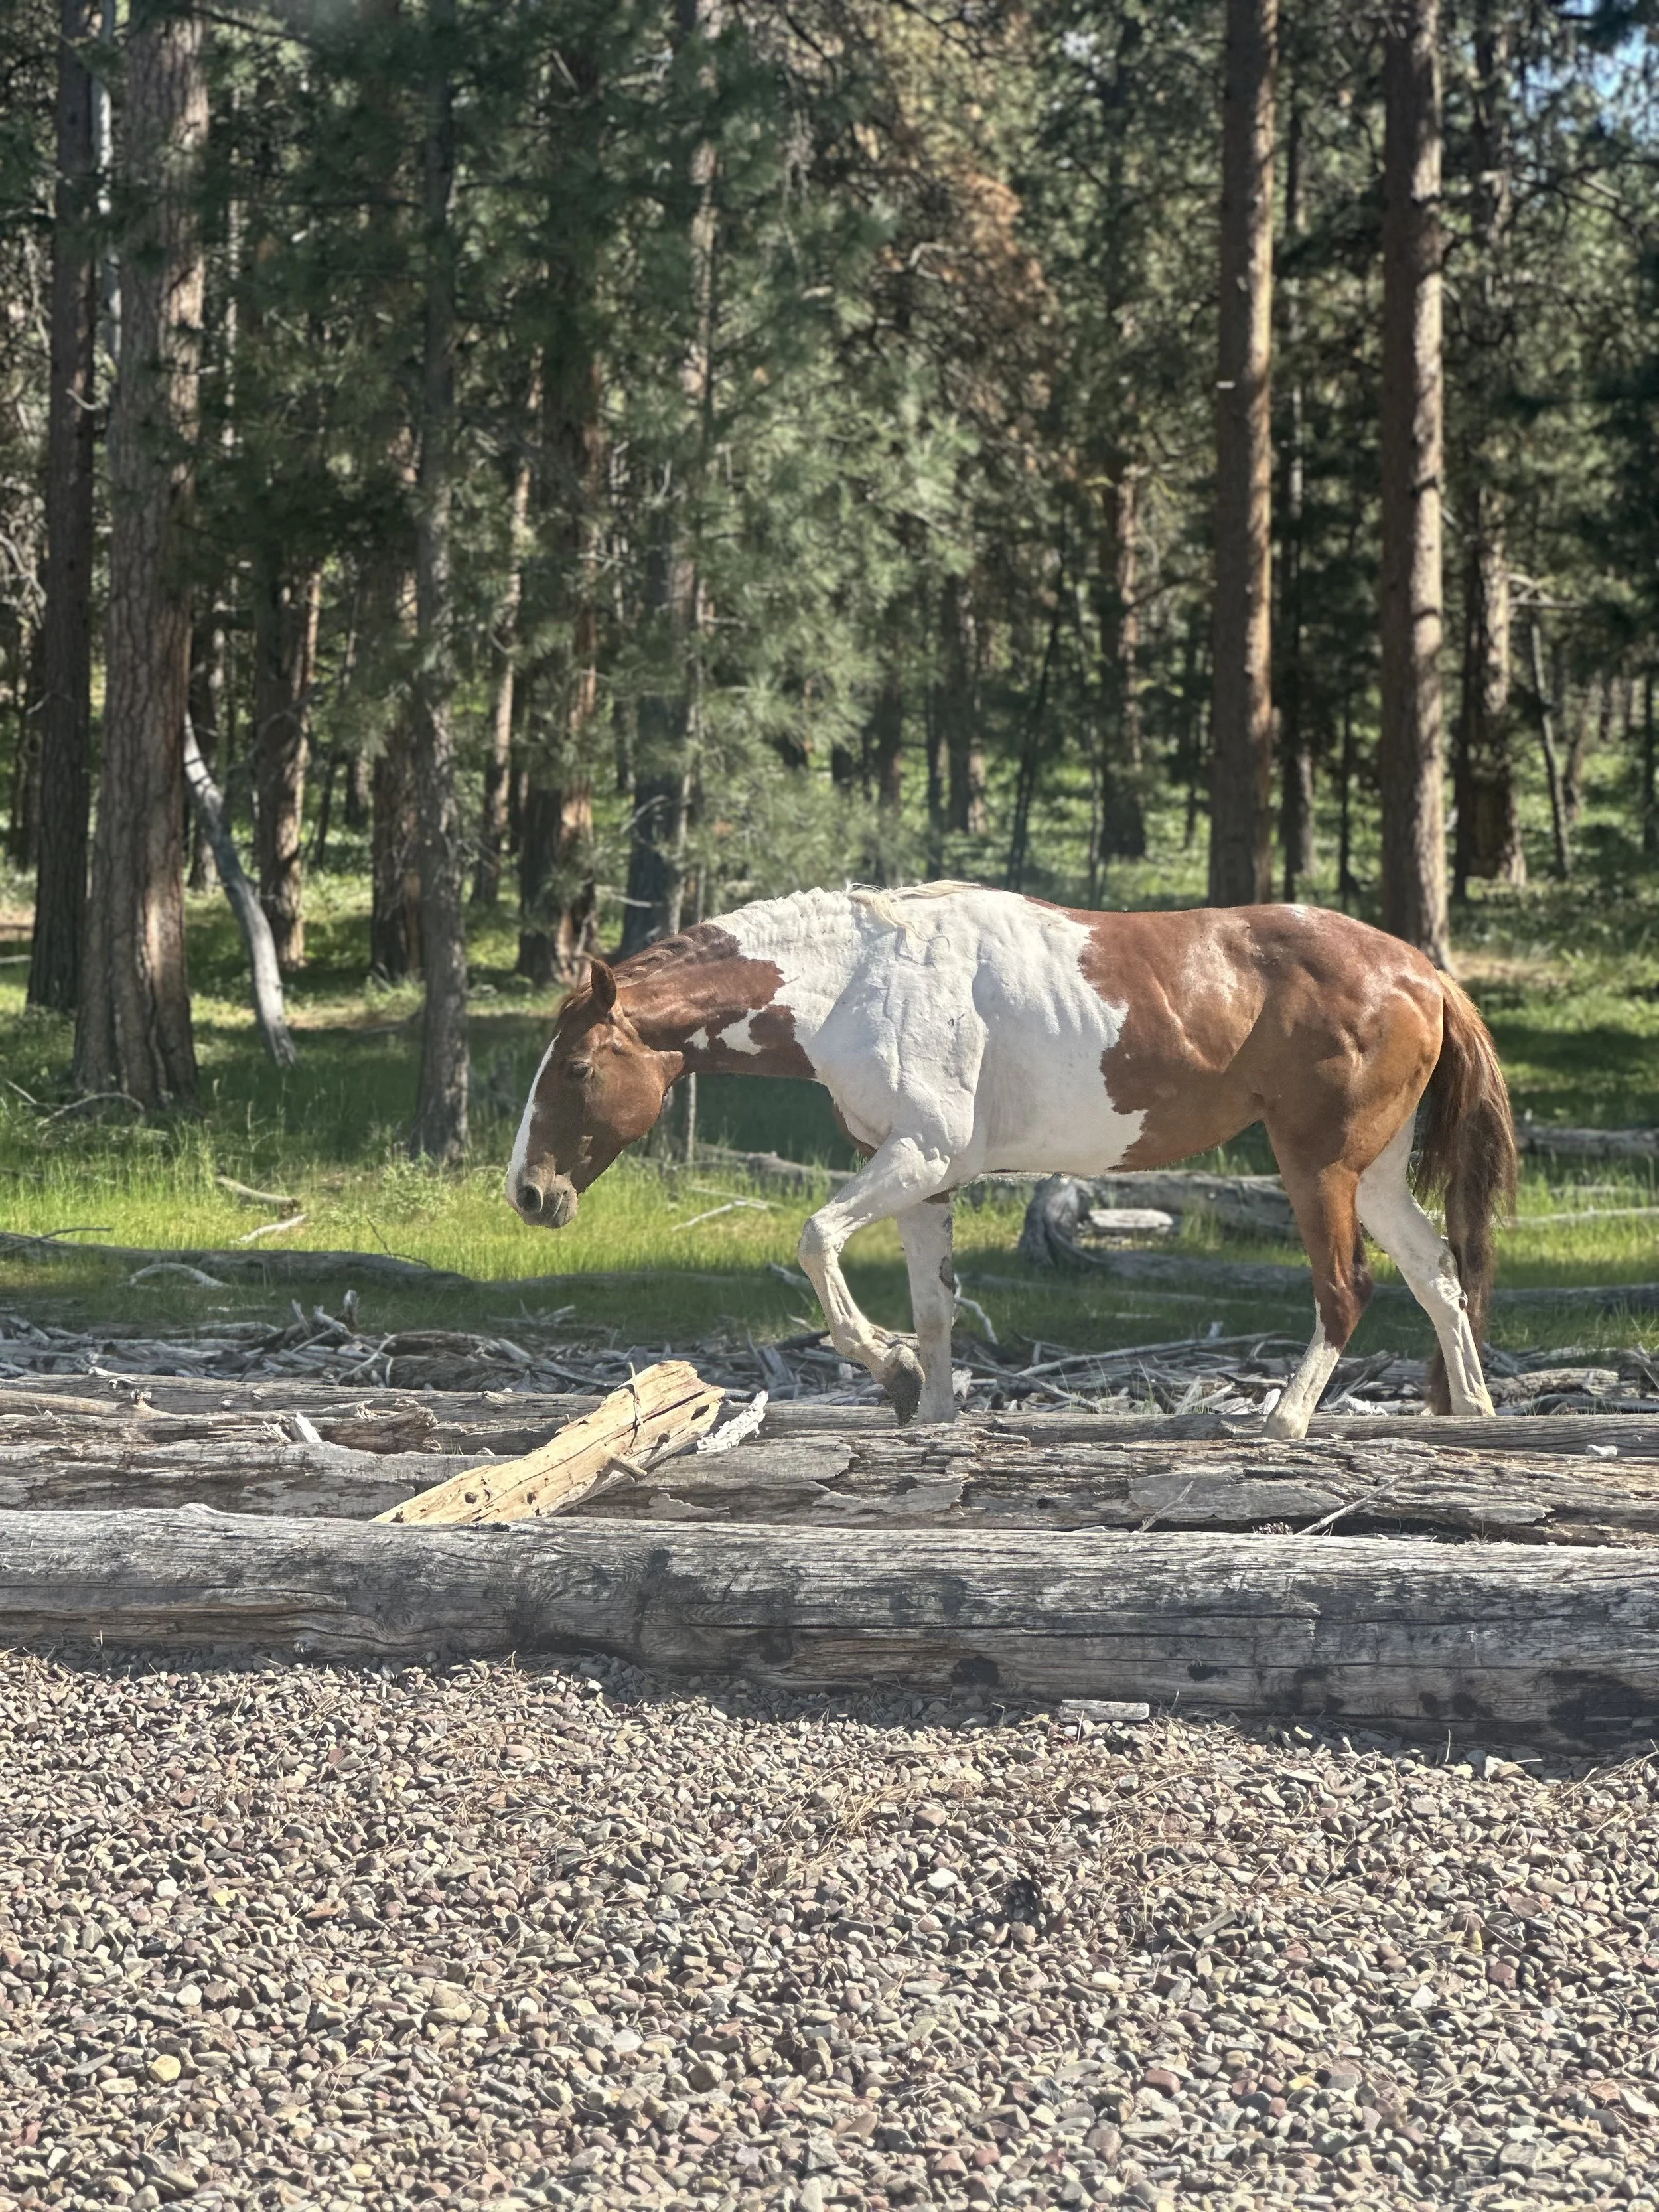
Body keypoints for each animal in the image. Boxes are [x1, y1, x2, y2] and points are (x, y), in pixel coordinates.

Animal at [507, 883, 1516, 1438]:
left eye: (580, 1066)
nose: (527, 1192)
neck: (857, 981)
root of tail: (1423, 971)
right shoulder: (925, 1181)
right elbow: (934, 1307)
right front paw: (931, 1405)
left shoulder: (918, 1156)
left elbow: (816, 1240)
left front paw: (891, 1370)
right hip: (1373, 1174)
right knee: (1438, 1272)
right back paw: (1472, 1411)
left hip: (1319, 1168)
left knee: (1348, 1288)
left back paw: (1286, 1417)